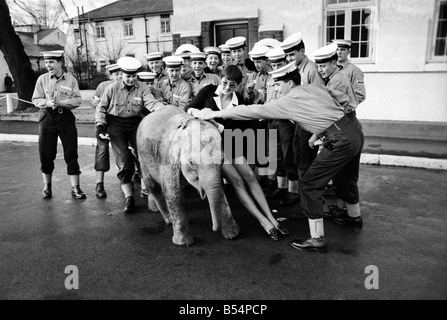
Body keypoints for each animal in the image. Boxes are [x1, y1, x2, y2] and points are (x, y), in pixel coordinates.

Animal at [137, 106, 240, 246]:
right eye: (192, 163)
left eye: (223, 160)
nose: (214, 228)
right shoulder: (167, 157)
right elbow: (172, 193)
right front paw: (183, 243)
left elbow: (219, 189)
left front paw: (232, 235)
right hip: (142, 155)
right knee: (152, 185)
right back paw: (168, 219)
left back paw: (155, 209)